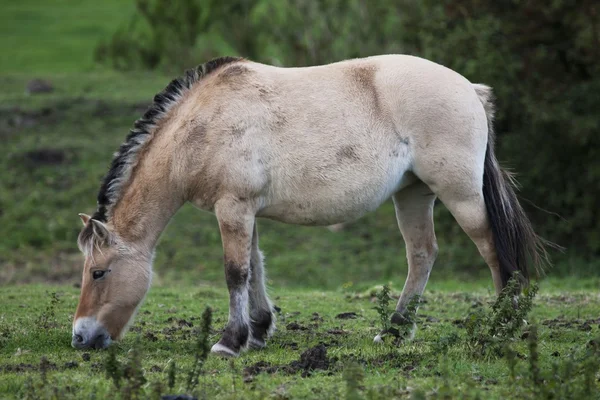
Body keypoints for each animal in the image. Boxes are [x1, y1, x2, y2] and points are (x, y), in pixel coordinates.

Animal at [72, 54, 548, 356]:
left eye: (99, 272)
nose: (79, 337)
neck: (202, 123)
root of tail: (469, 88)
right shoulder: (246, 211)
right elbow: (255, 266)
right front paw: (258, 331)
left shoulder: (233, 208)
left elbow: (235, 272)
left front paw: (229, 341)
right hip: (413, 194)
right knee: (422, 255)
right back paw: (394, 332)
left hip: (460, 195)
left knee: (491, 250)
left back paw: (502, 325)